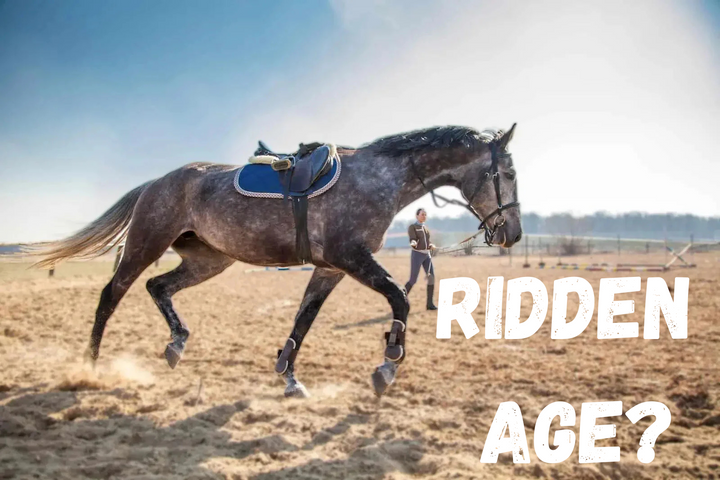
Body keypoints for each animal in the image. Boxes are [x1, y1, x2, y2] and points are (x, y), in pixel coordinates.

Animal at [29, 124, 522, 398]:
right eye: (510, 173)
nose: (512, 234)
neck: (379, 177)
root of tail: (156, 182)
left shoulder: (330, 268)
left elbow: (303, 320)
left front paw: (288, 376)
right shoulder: (350, 257)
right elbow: (399, 300)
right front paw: (387, 364)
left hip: (209, 260)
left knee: (158, 287)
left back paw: (176, 343)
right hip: (145, 245)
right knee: (110, 296)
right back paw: (88, 367)